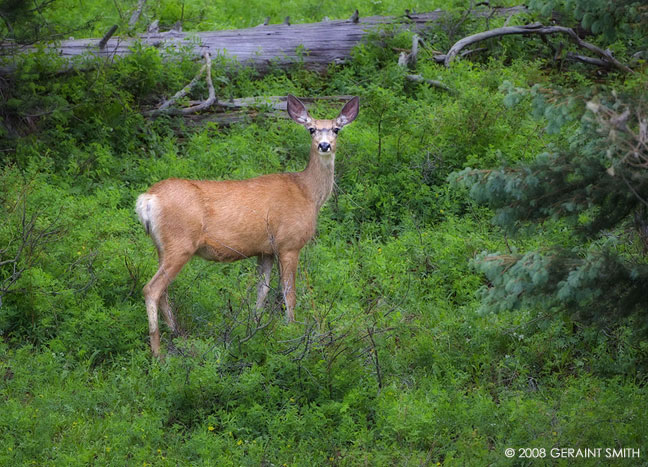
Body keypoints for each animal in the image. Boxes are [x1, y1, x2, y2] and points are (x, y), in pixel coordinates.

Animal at [136, 96, 360, 358]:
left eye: (336, 129)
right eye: (311, 129)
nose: (324, 146)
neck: (309, 193)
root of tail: (147, 199)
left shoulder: (265, 251)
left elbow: (261, 292)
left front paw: (255, 327)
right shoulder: (289, 244)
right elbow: (289, 294)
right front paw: (291, 330)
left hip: (162, 247)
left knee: (162, 291)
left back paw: (176, 334)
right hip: (180, 243)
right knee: (151, 289)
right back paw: (158, 353)